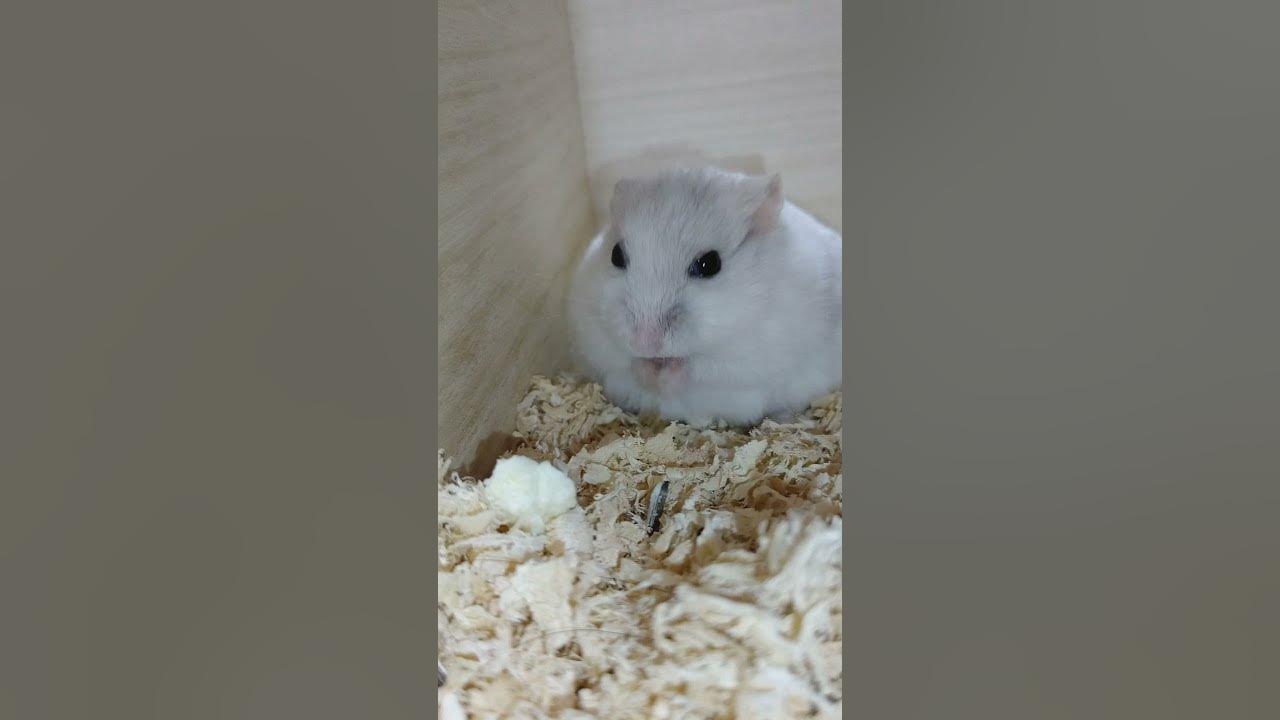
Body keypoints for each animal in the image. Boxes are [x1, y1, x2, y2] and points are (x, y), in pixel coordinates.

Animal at [566, 166, 841, 427]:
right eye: (616, 255)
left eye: (710, 264)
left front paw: (667, 376)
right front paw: (649, 372)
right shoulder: (596, 336)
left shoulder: (751, 352)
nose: (644, 344)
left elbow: (699, 369)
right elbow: (625, 361)